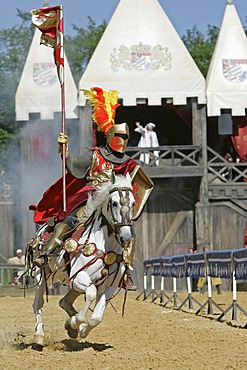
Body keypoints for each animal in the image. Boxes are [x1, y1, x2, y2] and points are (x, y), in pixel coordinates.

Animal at [29, 172, 136, 348]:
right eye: (114, 203)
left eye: (133, 203)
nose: (126, 237)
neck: (105, 245)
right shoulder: (78, 277)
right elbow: (91, 294)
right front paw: (75, 323)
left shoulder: (109, 286)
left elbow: (96, 317)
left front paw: (79, 328)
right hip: (41, 274)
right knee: (38, 303)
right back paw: (39, 335)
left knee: (64, 301)